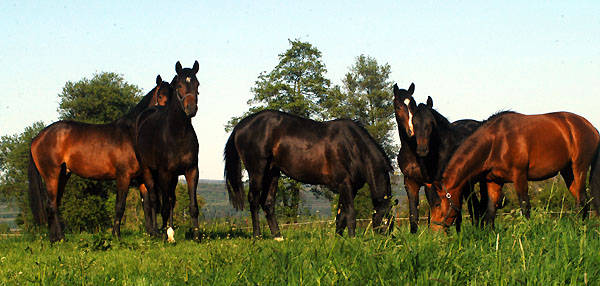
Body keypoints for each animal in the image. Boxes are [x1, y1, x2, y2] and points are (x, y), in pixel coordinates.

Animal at [29, 74, 171, 241]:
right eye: (160, 96)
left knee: (54, 204)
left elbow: (147, 206)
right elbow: (120, 205)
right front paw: (116, 235)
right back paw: (60, 238)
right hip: (52, 176)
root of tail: (38, 137)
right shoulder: (124, 176)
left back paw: (55, 239)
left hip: (63, 176)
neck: (132, 134)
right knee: (51, 205)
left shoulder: (141, 178)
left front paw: (152, 233)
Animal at [135, 60, 200, 241]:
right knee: (154, 201)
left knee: (170, 200)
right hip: (149, 171)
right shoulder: (164, 173)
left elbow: (192, 206)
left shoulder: (191, 171)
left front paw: (197, 236)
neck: (177, 134)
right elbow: (162, 206)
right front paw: (165, 235)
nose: (191, 108)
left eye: (197, 84)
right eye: (179, 85)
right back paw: (156, 232)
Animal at [225, 109, 394, 237]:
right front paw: (352, 240)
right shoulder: (345, 184)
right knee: (253, 200)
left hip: (272, 172)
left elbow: (341, 216)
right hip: (257, 170)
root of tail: (240, 126)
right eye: (386, 220)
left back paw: (278, 237)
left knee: (267, 203)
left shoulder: (349, 188)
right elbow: (351, 215)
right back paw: (257, 236)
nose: (388, 242)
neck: (353, 146)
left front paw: (339, 240)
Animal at [394, 82, 488, 232]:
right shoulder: (410, 182)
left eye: (412, 106)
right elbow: (414, 215)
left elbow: (435, 209)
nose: (411, 132)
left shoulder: (430, 183)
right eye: (398, 106)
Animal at [428, 110, 600, 231]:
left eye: (439, 204)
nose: (435, 231)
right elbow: (491, 211)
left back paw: (577, 227)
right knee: (581, 198)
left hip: (579, 168)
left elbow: (525, 206)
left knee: (582, 199)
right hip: (567, 172)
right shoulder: (493, 181)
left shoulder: (519, 176)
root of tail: (590, 126)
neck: (497, 141)